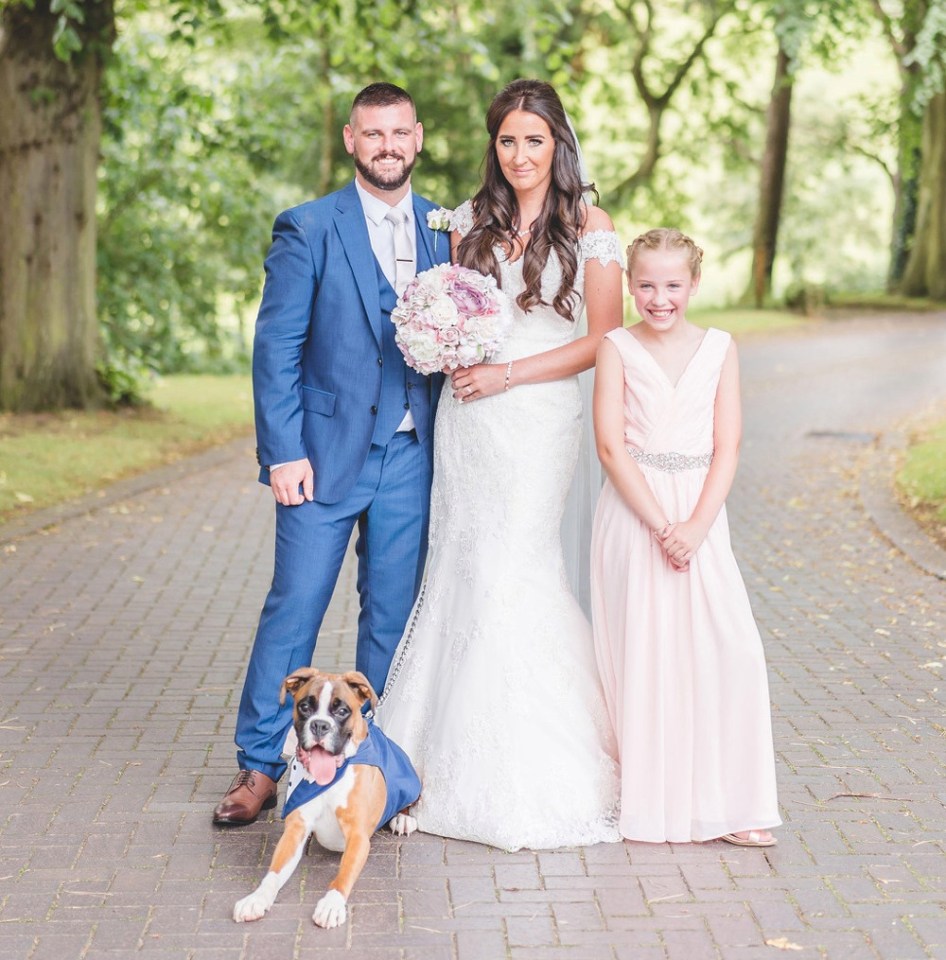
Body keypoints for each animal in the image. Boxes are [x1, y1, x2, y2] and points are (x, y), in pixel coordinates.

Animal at [230, 668, 418, 928]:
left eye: (342, 711)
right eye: (305, 707)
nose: (320, 725)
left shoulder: (358, 837)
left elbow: (344, 874)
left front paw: (331, 904)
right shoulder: (295, 830)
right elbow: (274, 873)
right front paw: (256, 898)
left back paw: (403, 818)